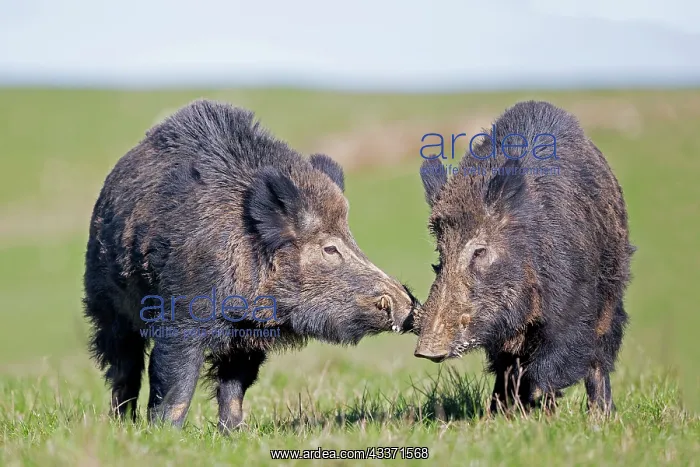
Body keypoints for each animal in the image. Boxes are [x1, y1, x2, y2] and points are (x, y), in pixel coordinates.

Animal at [83, 99, 418, 433]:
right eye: (330, 248)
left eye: (351, 237)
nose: (409, 303)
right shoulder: (181, 318)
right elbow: (177, 382)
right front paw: (165, 433)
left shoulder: (247, 338)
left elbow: (235, 386)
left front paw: (233, 433)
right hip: (107, 306)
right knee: (123, 366)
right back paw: (121, 422)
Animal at [413, 100, 634, 416]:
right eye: (440, 252)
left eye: (480, 251)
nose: (426, 350)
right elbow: (507, 367)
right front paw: (502, 413)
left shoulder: (573, 306)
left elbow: (555, 363)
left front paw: (539, 407)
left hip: (611, 294)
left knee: (599, 356)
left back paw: (601, 415)